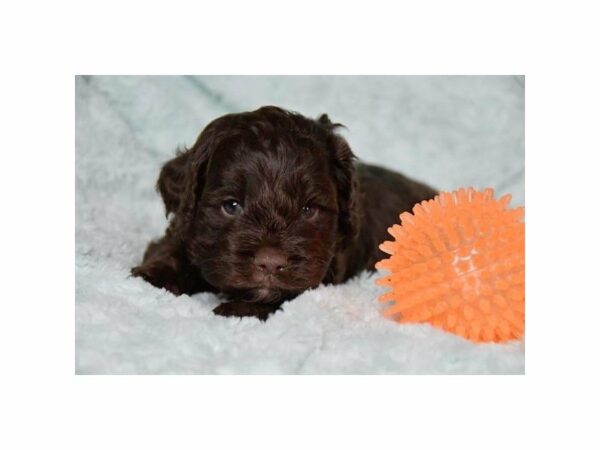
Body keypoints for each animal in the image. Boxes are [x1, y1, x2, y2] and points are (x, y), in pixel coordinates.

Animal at [132, 106, 436, 320]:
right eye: (231, 206)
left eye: (308, 209)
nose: (270, 263)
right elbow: (172, 248)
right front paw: (153, 276)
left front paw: (240, 310)